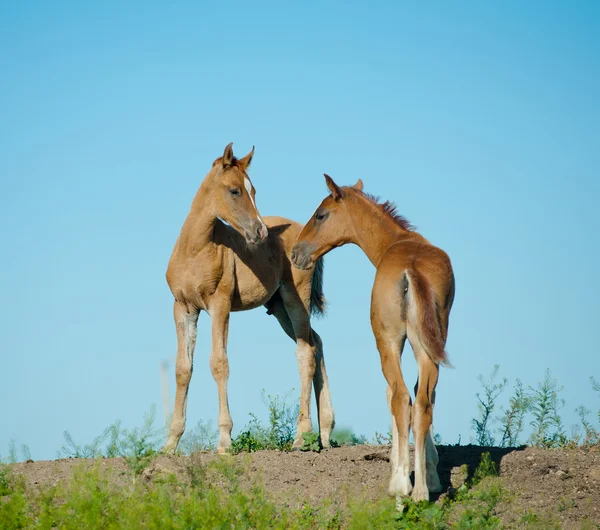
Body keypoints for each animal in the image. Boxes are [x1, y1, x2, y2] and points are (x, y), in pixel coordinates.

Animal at [162, 145, 336, 454]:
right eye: (234, 190)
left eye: (253, 190)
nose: (260, 232)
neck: (194, 250)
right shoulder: (183, 308)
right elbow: (183, 368)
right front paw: (170, 444)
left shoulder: (219, 305)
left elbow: (219, 363)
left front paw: (224, 440)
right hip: (278, 308)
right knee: (316, 342)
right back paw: (325, 432)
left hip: (295, 299)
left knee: (305, 352)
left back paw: (301, 436)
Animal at [290, 175, 454, 502]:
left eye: (320, 215)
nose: (295, 253)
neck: (398, 241)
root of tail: (411, 269)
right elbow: (422, 396)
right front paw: (431, 477)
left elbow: (391, 396)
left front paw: (398, 470)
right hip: (427, 346)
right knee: (422, 401)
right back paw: (421, 492)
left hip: (388, 342)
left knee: (401, 397)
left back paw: (401, 487)